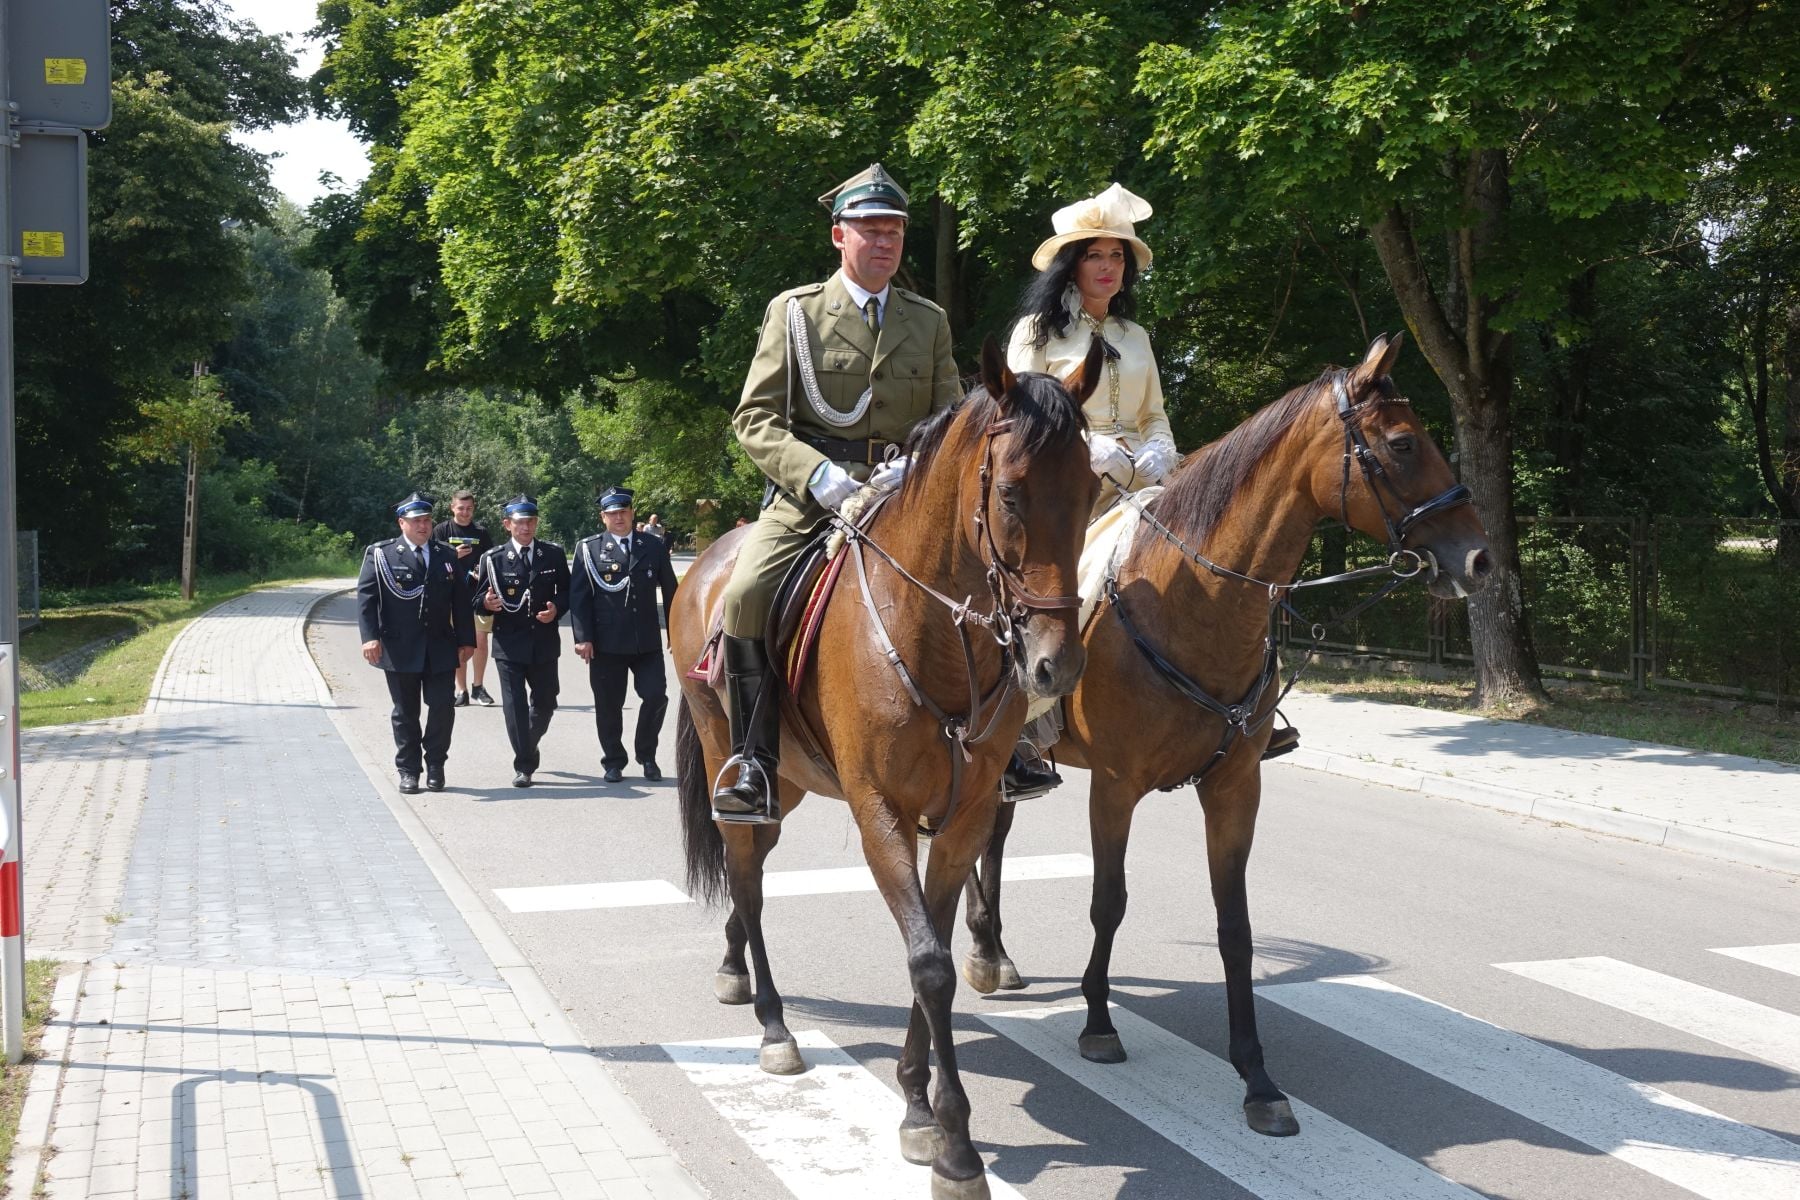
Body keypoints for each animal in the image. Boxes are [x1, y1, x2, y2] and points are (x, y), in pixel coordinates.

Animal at [673, 332, 1094, 1194]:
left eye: (1095, 486)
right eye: (1011, 494)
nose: (1055, 666)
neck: (934, 633)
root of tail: (703, 560)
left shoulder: (965, 818)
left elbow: (932, 945)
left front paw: (916, 1101)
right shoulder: (881, 817)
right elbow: (929, 963)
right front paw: (955, 1140)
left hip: (792, 782)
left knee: (751, 866)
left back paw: (736, 970)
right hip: (731, 757)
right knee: (745, 876)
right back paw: (773, 1024)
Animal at [964, 336, 1497, 1137]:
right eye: (1403, 443)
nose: (1479, 559)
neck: (1195, 602)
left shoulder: (1235, 786)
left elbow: (1235, 927)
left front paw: (1256, 1076)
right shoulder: (1114, 789)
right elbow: (1108, 900)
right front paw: (1098, 1023)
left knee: (993, 835)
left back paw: (993, 951)